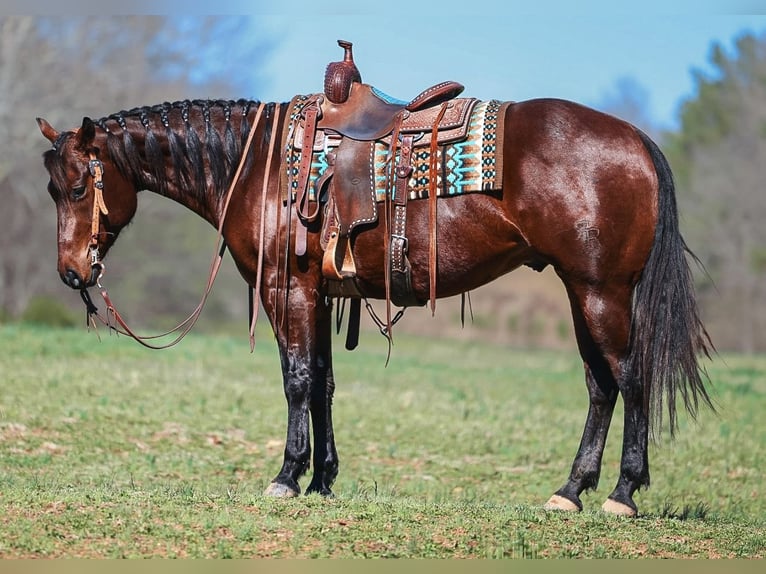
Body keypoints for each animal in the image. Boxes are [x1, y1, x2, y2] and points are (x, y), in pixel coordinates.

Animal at [37, 83, 713, 517]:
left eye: (77, 187)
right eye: (52, 190)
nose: (72, 272)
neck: (255, 166)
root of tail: (635, 140)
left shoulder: (286, 289)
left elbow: (297, 380)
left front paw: (287, 476)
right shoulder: (319, 294)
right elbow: (324, 383)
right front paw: (323, 480)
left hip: (601, 293)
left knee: (631, 377)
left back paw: (622, 494)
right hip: (581, 293)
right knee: (601, 385)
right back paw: (569, 492)